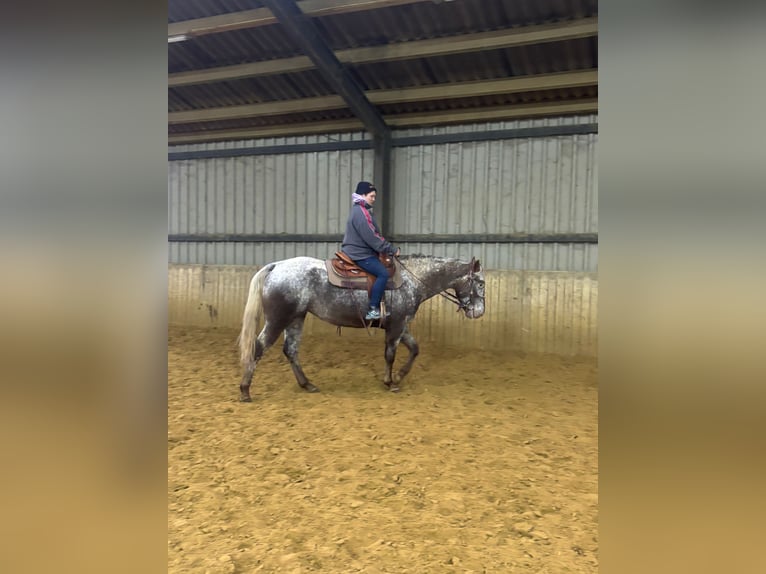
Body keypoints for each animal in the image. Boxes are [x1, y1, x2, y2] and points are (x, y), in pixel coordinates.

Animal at [237, 254, 485, 401]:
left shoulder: (401, 325)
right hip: (278, 319)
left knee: (290, 350)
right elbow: (390, 354)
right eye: (481, 283)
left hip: (296, 318)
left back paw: (307, 384)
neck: (411, 280)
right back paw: (245, 390)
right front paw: (390, 382)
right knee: (258, 348)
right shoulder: (396, 326)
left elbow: (415, 349)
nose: (479, 312)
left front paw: (400, 375)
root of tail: (276, 266)